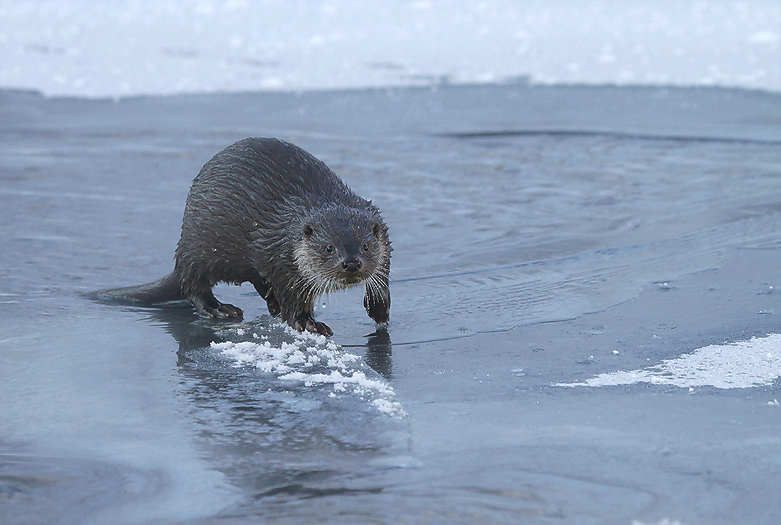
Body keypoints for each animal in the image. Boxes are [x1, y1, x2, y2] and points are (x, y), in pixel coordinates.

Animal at [99, 138, 391, 336]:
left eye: (366, 246)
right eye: (329, 247)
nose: (351, 263)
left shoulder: (381, 227)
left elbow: (384, 275)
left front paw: (380, 308)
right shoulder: (282, 258)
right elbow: (293, 297)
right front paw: (309, 323)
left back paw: (270, 304)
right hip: (199, 246)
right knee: (192, 284)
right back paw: (218, 308)